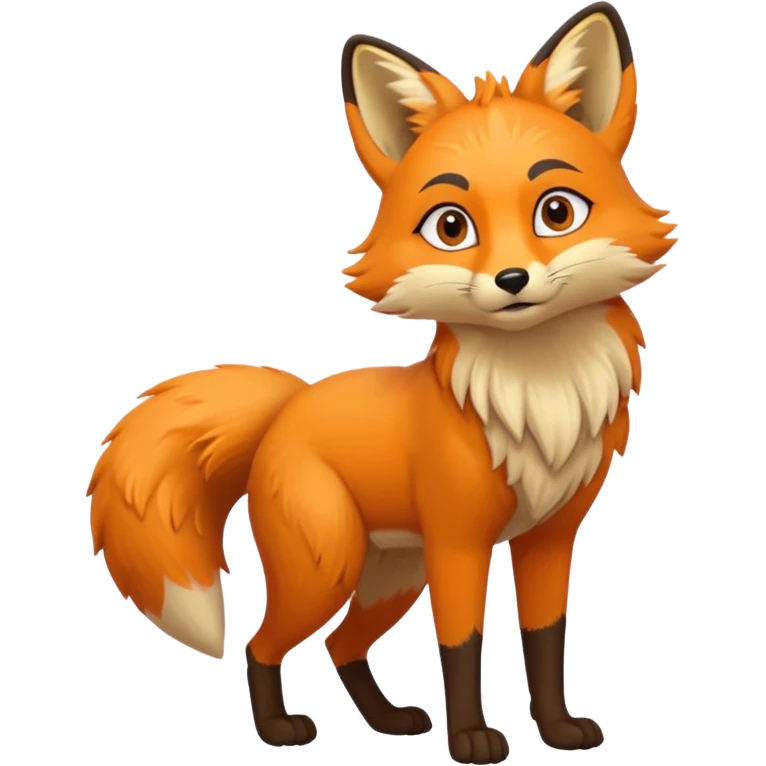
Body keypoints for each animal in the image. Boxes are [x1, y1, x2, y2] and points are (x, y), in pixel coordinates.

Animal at [86, 5, 677, 763]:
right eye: (451, 226)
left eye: (557, 213)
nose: (512, 280)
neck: (536, 393)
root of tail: (290, 404)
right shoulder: (459, 544)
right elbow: (462, 645)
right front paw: (472, 740)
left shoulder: (549, 538)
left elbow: (545, 644)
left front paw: (558, 730)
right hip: (329, 566)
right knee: (260, 642)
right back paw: (278, 730)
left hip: (392, 576)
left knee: (340, 646)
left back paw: (388, 721)